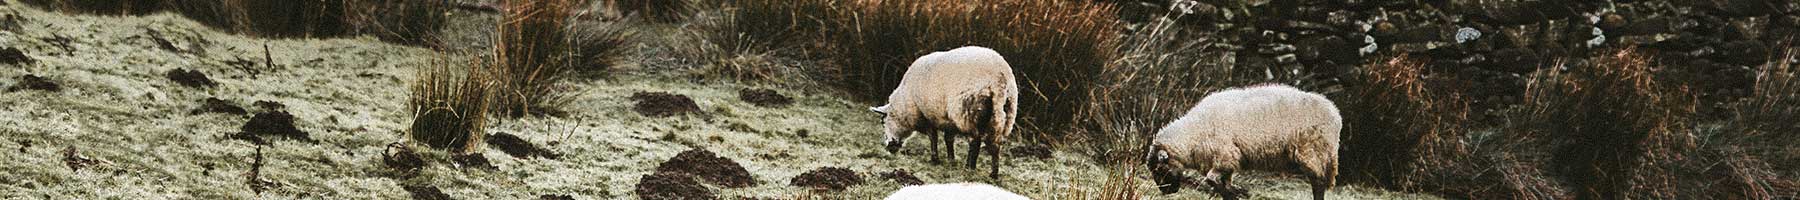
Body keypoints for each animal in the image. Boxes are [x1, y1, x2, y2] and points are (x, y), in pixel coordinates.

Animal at [874, 45, 1029, 179]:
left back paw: (969, 167)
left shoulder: (929, 116)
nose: (889, 147)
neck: (905, 102)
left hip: (967, 111)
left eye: (883, 122)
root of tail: (999, 78)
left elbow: (933, 137)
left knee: (975, 141)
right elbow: (948, 139)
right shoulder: (947, 119)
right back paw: (993, 173)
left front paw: (935, 159)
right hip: (1006, 111)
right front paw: (951, 159)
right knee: (996, 143)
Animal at [1144, 83, 1346, 200]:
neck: (1193, 134)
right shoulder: (1227, 160)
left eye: (1160, 168)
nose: (1165, 192)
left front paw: (1235, 195)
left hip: (1312, 150)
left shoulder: (1224, 155)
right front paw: (1236, 193)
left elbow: (1212, 179)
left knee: (1318, 183)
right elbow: (1222, 181)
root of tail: (1335, 114)